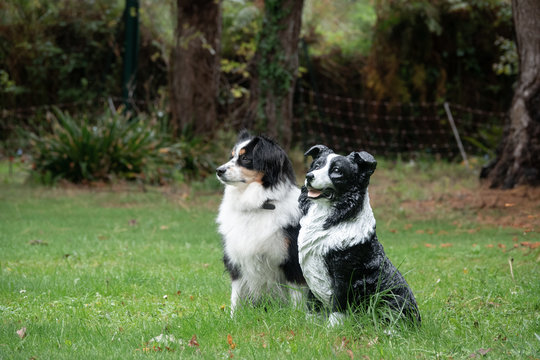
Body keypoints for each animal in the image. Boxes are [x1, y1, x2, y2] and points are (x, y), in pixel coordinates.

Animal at [216, 131, 308, 314]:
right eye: (231, 156)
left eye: (245, 158)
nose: (218, 170)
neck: (258, 205)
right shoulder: (236, 260)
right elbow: (236, 296)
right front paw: (234, 317)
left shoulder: (293, 261)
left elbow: (297, 297)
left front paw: (296, 317)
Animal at [298, 145, 420, 324]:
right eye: (316, 165)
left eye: (337, 171)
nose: (309, 176)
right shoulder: (311, 273)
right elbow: (312, 302)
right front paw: (310, 324)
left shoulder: (345, 273)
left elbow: (338, 304)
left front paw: (333, 327)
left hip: (392, 299)